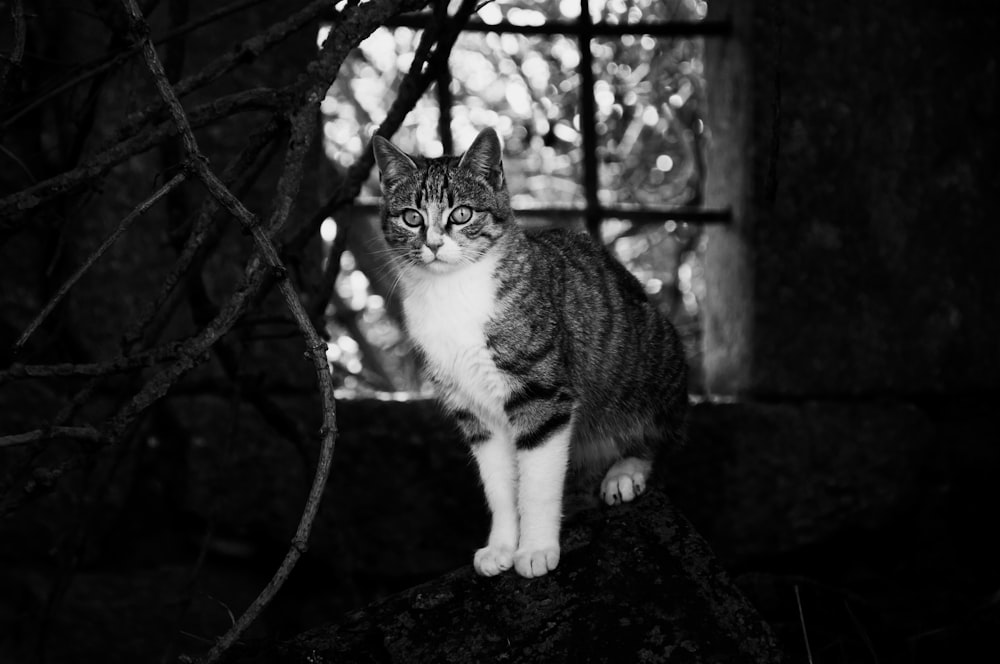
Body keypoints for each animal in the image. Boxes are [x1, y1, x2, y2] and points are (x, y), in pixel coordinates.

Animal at [372, 127, 692, 580]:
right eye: (412, 217)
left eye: (462, 214)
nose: (433, 244)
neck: (452, 293)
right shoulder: (475, 413)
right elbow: (500, 485)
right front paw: (503, 546)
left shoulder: (542, 396)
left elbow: (537, 484)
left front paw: (537, 549)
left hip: (652, 359)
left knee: (663, 434)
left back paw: (626, 470)